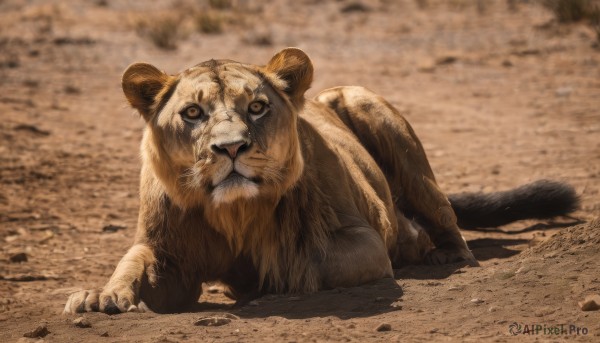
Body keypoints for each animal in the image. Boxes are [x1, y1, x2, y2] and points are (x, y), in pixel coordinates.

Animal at [63, 47, 580, 314]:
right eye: (192, 113)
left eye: (257, 107)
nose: (230, 148)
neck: (235, 212)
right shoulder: (167, 254)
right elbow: (133, 263)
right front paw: (100, 295)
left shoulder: (363, 242)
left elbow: (303, 261)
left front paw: (258, 282)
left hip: (378, 120)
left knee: (450, 226)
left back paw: (439, 253)